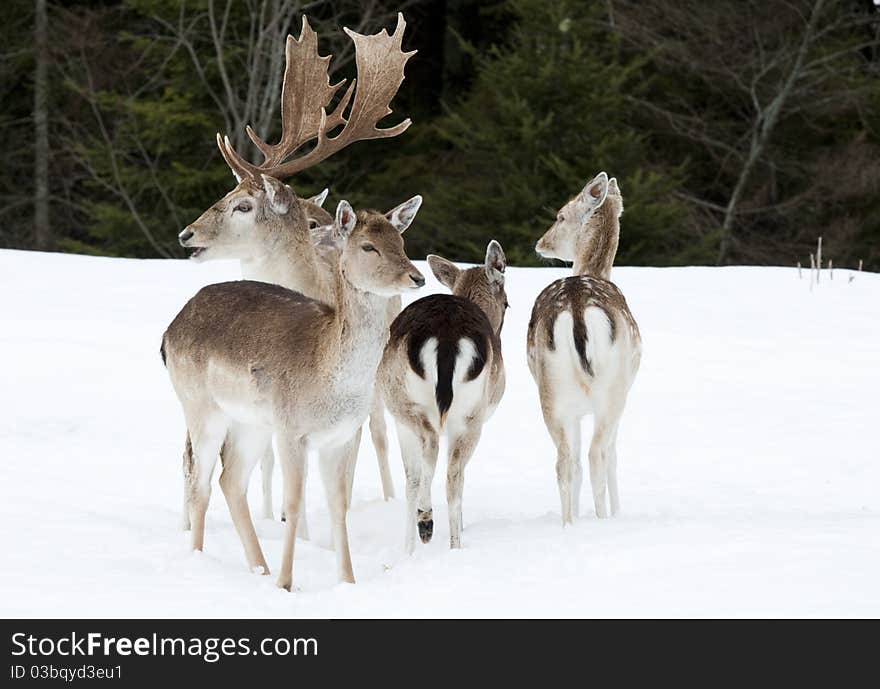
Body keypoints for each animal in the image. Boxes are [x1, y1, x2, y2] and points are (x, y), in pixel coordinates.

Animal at [378, 239, 508, 552]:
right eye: (508, 303)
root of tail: (448, 337)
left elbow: (412, 479)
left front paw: (408, 549)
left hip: (411, 403)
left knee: (440, 461)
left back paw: (429, 525)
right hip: (466, 414)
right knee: (450, 472)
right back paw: (436, 530)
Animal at [524, 171, 644, 520]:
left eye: (560, 215)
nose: (540, 243)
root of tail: (576, 308)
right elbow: (613, 456)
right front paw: (617, 511)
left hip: (552, 390)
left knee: (567, 461)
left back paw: (570, 523)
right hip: (612, 390)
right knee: (597, 455)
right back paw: (604, 519)